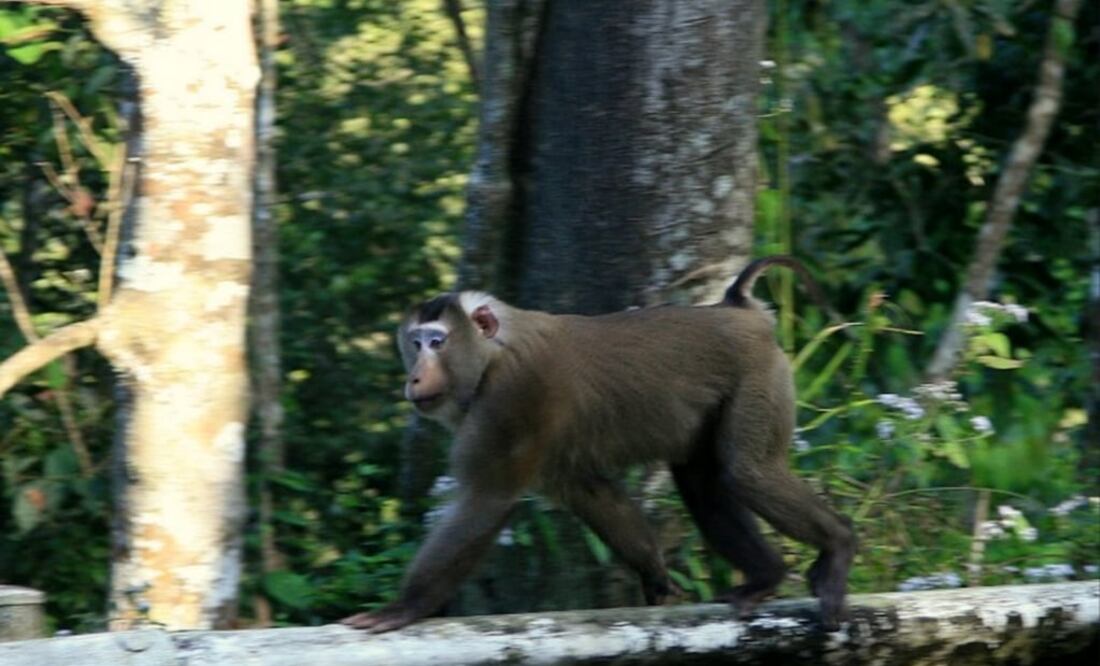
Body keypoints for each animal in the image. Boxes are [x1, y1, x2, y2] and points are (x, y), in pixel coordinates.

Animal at [341, 256, 857, 633]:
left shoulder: (513, 397)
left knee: (747, 472)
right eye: (415, 343)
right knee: (701, 481)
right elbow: (588, 491)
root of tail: (738, 309)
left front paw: (404, 607)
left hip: (758, 377)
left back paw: (837, 546)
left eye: (437, 342)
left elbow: (487, 499)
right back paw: (766, 576)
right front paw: (655, 576)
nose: (414, 376)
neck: (495, 351)